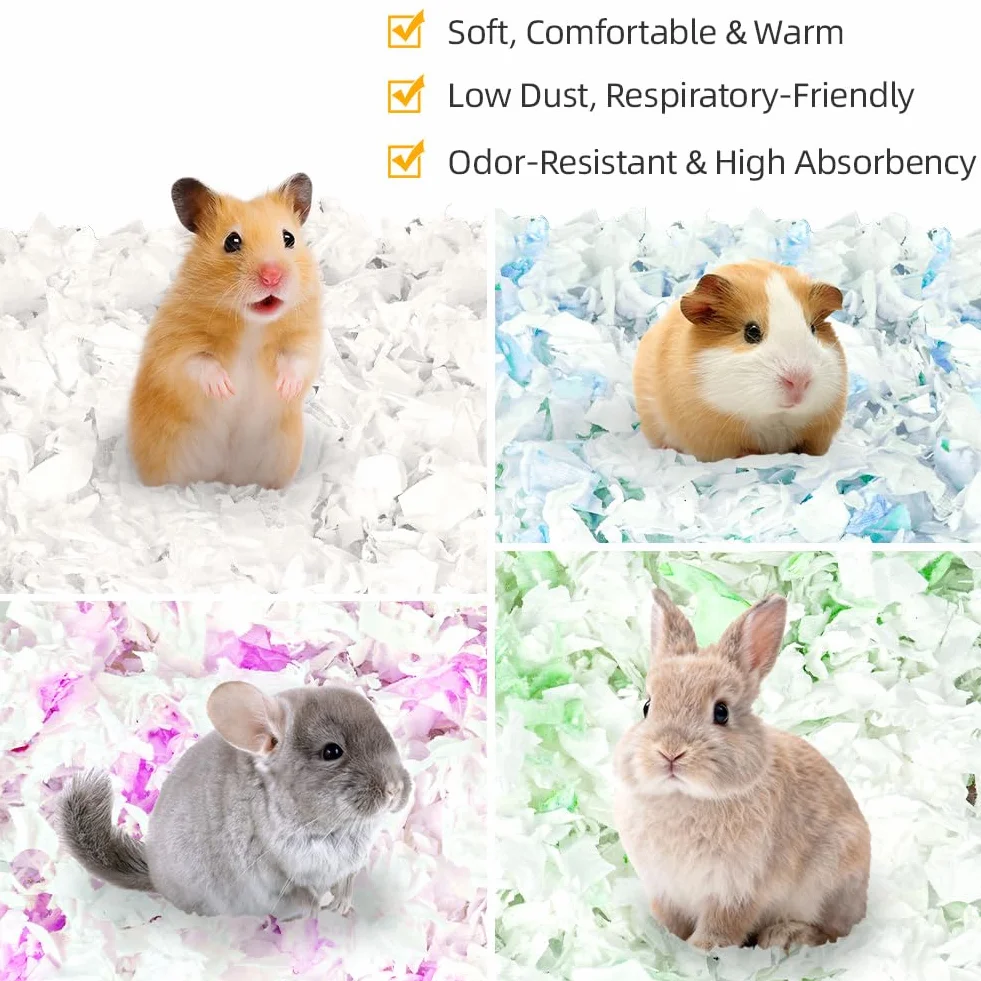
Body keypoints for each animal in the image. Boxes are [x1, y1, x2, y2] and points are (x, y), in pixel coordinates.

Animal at [58, 682, 412, 918]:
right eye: (332, 751)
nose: (395, 789)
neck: (337, 828)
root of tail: (155, 876)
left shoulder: (349, 866)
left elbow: (347, 882)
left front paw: (342, 905)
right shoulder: (272, 873)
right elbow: (300, 892)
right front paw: (319, 908)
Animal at [613, 589, 870, 951]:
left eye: (721, 712)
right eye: (647, 707)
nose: (670, 752)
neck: (684, 798)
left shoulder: (735, 891)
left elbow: (720, 929)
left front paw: (698, 951)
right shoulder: (666, 888)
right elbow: (671, 920)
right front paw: (670, 943)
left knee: (830, 931)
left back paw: (786, 936)